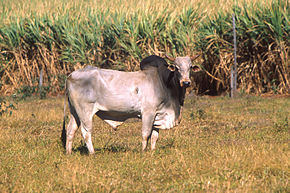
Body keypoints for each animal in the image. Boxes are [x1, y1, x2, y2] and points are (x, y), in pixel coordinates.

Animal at [62, 55, 201, 155]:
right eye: (177, 68)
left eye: (190, 67)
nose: (186, 82)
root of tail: (70, 75)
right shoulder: (148, 113)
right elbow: (146, 134)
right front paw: (143, 151)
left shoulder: (158, 115)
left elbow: (155, 136)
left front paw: (152, 151)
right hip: (85, 111)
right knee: (86, 132)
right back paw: (92, 153)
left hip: (75, 111)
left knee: (70, 130)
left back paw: (69, 152)